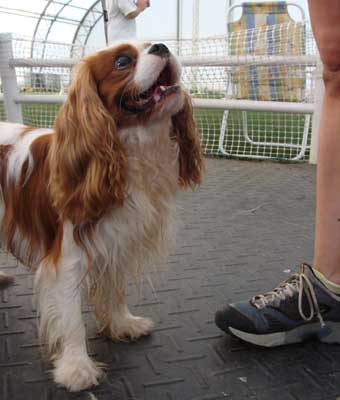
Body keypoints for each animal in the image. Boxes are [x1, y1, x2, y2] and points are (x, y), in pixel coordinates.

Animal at [0, 41, 202, 390]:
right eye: (122, 61)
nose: (162, 46)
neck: (127, 152)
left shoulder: (116, 241)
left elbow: (114, 289)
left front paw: (121, 324)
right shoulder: (68, 259)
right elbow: (71, 319)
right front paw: (76, 368)